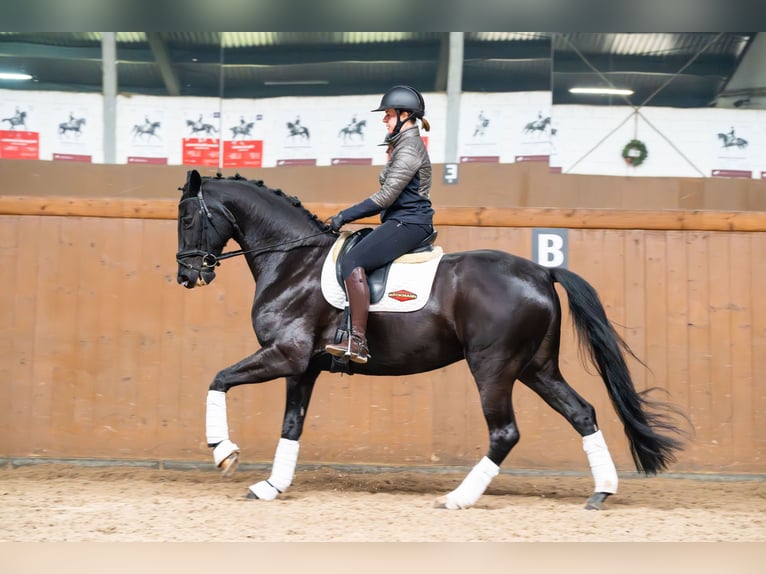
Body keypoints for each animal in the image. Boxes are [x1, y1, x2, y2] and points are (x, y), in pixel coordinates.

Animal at [175, 170, 686, 510]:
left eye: (186, 218)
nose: (186, 276)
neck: (292, 262)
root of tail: (542, 271)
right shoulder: (303, 366)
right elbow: (291, 426)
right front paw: (270, 486)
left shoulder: (284, 355)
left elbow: (217, 379)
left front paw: (224, 452)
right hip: (536, 368)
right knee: (583, 413)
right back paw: (601, 491)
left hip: (493, 367)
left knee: (505, 431)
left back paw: (458, 497)